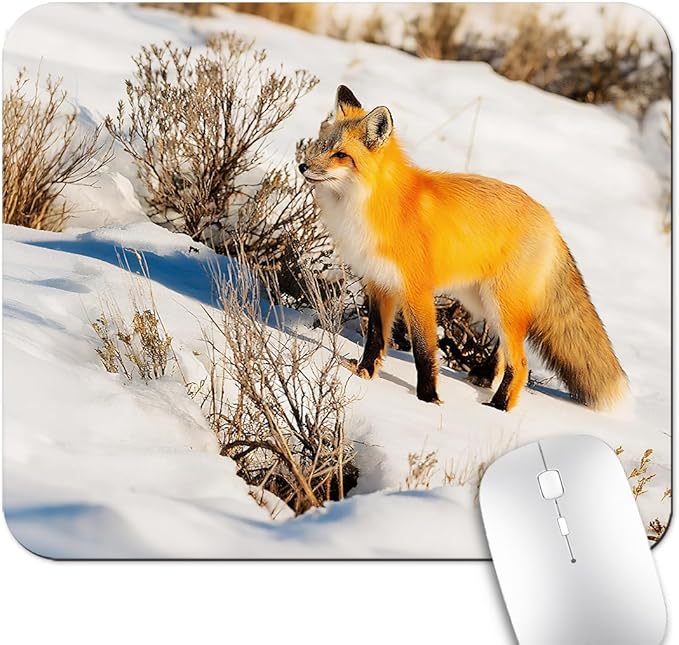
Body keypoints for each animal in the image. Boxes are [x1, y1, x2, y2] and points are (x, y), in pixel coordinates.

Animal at [299, 85, 628, 412]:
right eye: (321, 144)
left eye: (341, 155)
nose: (303, 165)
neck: (374, 204)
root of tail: (550, 220)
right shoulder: (378, 281)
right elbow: (376, 337)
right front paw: (364, 374)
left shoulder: (417, 291)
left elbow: (424, 352)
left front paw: (428, 399)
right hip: (480, 301)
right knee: (506, 353)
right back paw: (485, 376)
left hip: (500, 303)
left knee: (521, 363)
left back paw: (499, 407)